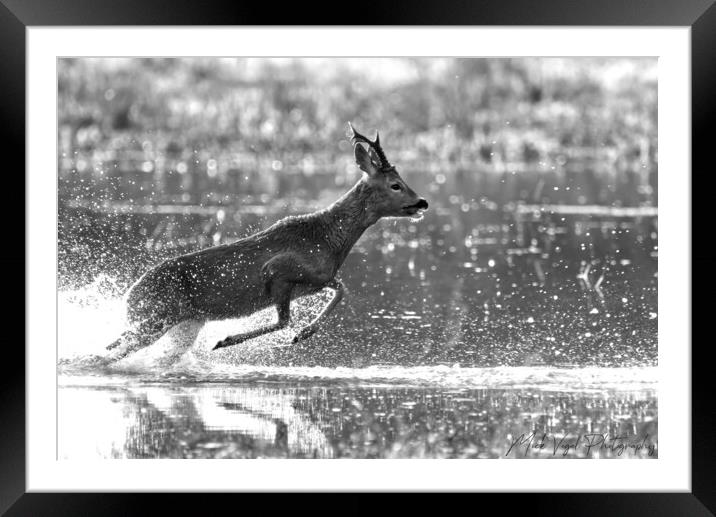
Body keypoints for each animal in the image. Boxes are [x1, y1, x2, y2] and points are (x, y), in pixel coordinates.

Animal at [106, 123, 428, 358]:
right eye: (395, 185)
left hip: (179, 322)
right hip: (157, 317)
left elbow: (341, 289)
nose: (422, 202)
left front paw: (304, 333)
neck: (328, 238)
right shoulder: (277, 272)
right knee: (113, 347)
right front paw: (228, 340)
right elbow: (284, 319)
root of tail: (129, 296)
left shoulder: (315, 280)